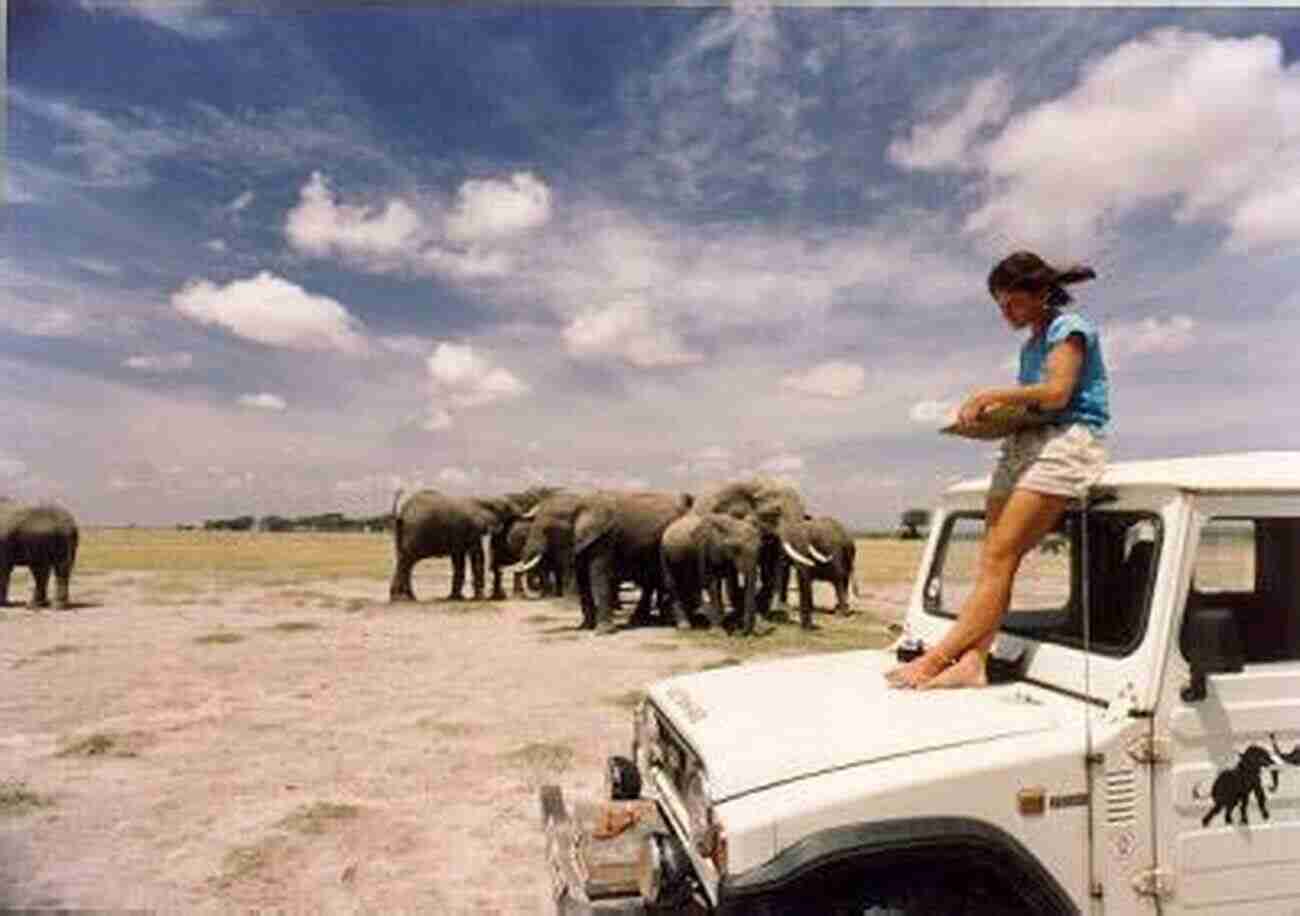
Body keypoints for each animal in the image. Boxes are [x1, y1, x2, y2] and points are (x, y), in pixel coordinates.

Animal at [390, 488, 543, 602]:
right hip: (414, 531)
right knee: (406, 561)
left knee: (405, 561)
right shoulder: (474, 529)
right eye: (507, 508)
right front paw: (479, 598)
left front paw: (456, 598)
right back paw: (402, 599)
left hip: (402, 531)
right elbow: (477, 556)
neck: (485, 500)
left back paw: (407, 597)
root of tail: (402, 512)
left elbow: (459, 560)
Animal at [691, 475, 821, 631]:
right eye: (776, 512)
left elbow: (772, 566)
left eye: (804, 514)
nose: (808, 627)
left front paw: (769, 613)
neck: (761, 485)